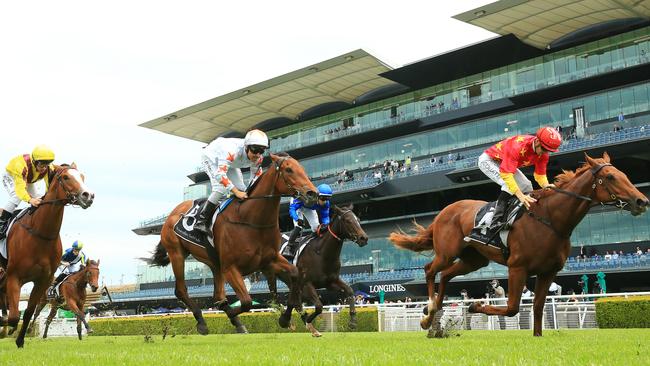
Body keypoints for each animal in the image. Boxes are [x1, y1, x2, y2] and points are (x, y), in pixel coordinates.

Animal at [0, 164, 94, 348]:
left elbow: (27, 312)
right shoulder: (14, 276)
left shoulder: (43, 280)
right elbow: (14, 316)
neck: (40, 234)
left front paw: (19, 340)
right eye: (65, 177)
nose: (88, 195)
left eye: (82, 176)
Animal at [147, 153, 318, 336]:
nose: (312, 193)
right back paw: (202, 322)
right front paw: (230, 313)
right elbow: (246, 302)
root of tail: (173, 213)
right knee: (181, 290)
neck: (250, 220)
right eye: (289, 169)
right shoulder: (231, 268)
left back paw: (236, 322)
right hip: (177, 253)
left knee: (217, 294)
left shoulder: (269, 261)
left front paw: (285, 318)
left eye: (302, 168)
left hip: (214, 263)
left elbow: (294, 274)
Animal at [266, 204, 368, 336]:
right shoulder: (306, 283)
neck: (321, 254)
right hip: (271, 275)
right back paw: (288, 320)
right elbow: (319, 306)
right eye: (347, 220)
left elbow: (350, 291)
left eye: (358, 220)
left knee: (293, 301)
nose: (363, 238)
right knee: (276, 298)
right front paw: (308, 320)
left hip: (290, 280)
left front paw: (353, 322)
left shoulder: (330, 282)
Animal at [388, 152, 644, 338]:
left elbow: (538, 306)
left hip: (474, 260)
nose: (642, 200)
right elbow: (512, 308)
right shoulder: (517, 267)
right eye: (610, 177)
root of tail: (444, 210)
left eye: (622, 173)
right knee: (430, 270)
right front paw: (474, 307)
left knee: (446, 275)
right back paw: (429, 312)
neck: (551, 219)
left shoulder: (548, 272)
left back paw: (433, 312)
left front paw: (538, 336)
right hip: (447, 252)